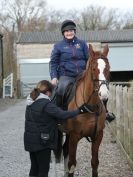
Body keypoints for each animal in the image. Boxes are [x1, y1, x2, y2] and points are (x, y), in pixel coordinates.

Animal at [55, 44, 109, 177]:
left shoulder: (98, 136)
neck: (90, 106)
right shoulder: (74, 136)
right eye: (94, 69)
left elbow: (95, 163)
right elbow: (72, 164)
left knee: (65, 149)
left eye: (108, 68)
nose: (104, 94)